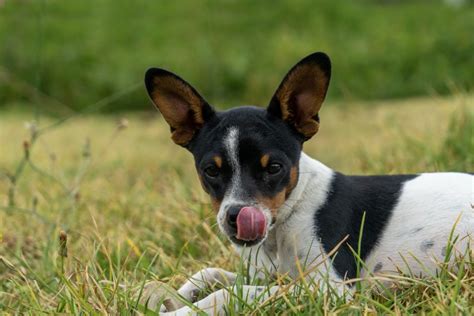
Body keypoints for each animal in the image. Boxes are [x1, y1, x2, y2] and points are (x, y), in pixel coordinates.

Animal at [143, 51, 472, 314]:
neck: (289, 215)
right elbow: (209, 272)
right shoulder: (266, 275)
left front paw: (182, 311)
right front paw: (169, 296)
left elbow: (227, 294)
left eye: (274, 168)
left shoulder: (326, 289)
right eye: (211, 171)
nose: (237, 217)